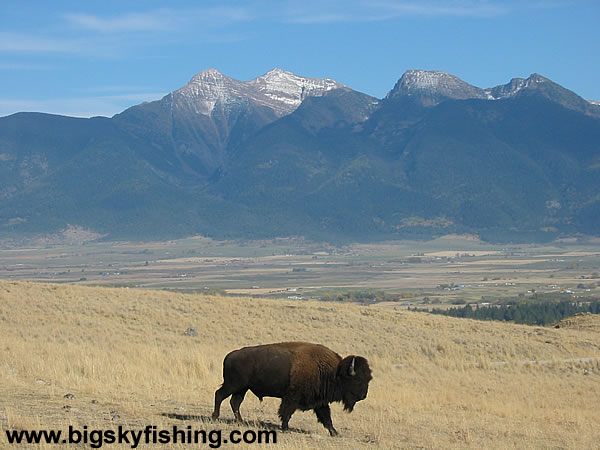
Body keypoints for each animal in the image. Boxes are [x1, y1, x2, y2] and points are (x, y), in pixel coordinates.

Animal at [211, 342, 370, 436]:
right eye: (357, 379)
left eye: (368, 379)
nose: (363, 396)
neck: (333, 372)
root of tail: (230, 356)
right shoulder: (292, 396)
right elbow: (287, 412)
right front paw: (285, 428)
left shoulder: (320, 402)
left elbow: (326, 417)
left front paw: (335, 432)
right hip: (233, 385)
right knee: (219, 395)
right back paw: (215, 417)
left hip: (242, 388)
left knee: (235, 402)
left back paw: (241, 421)